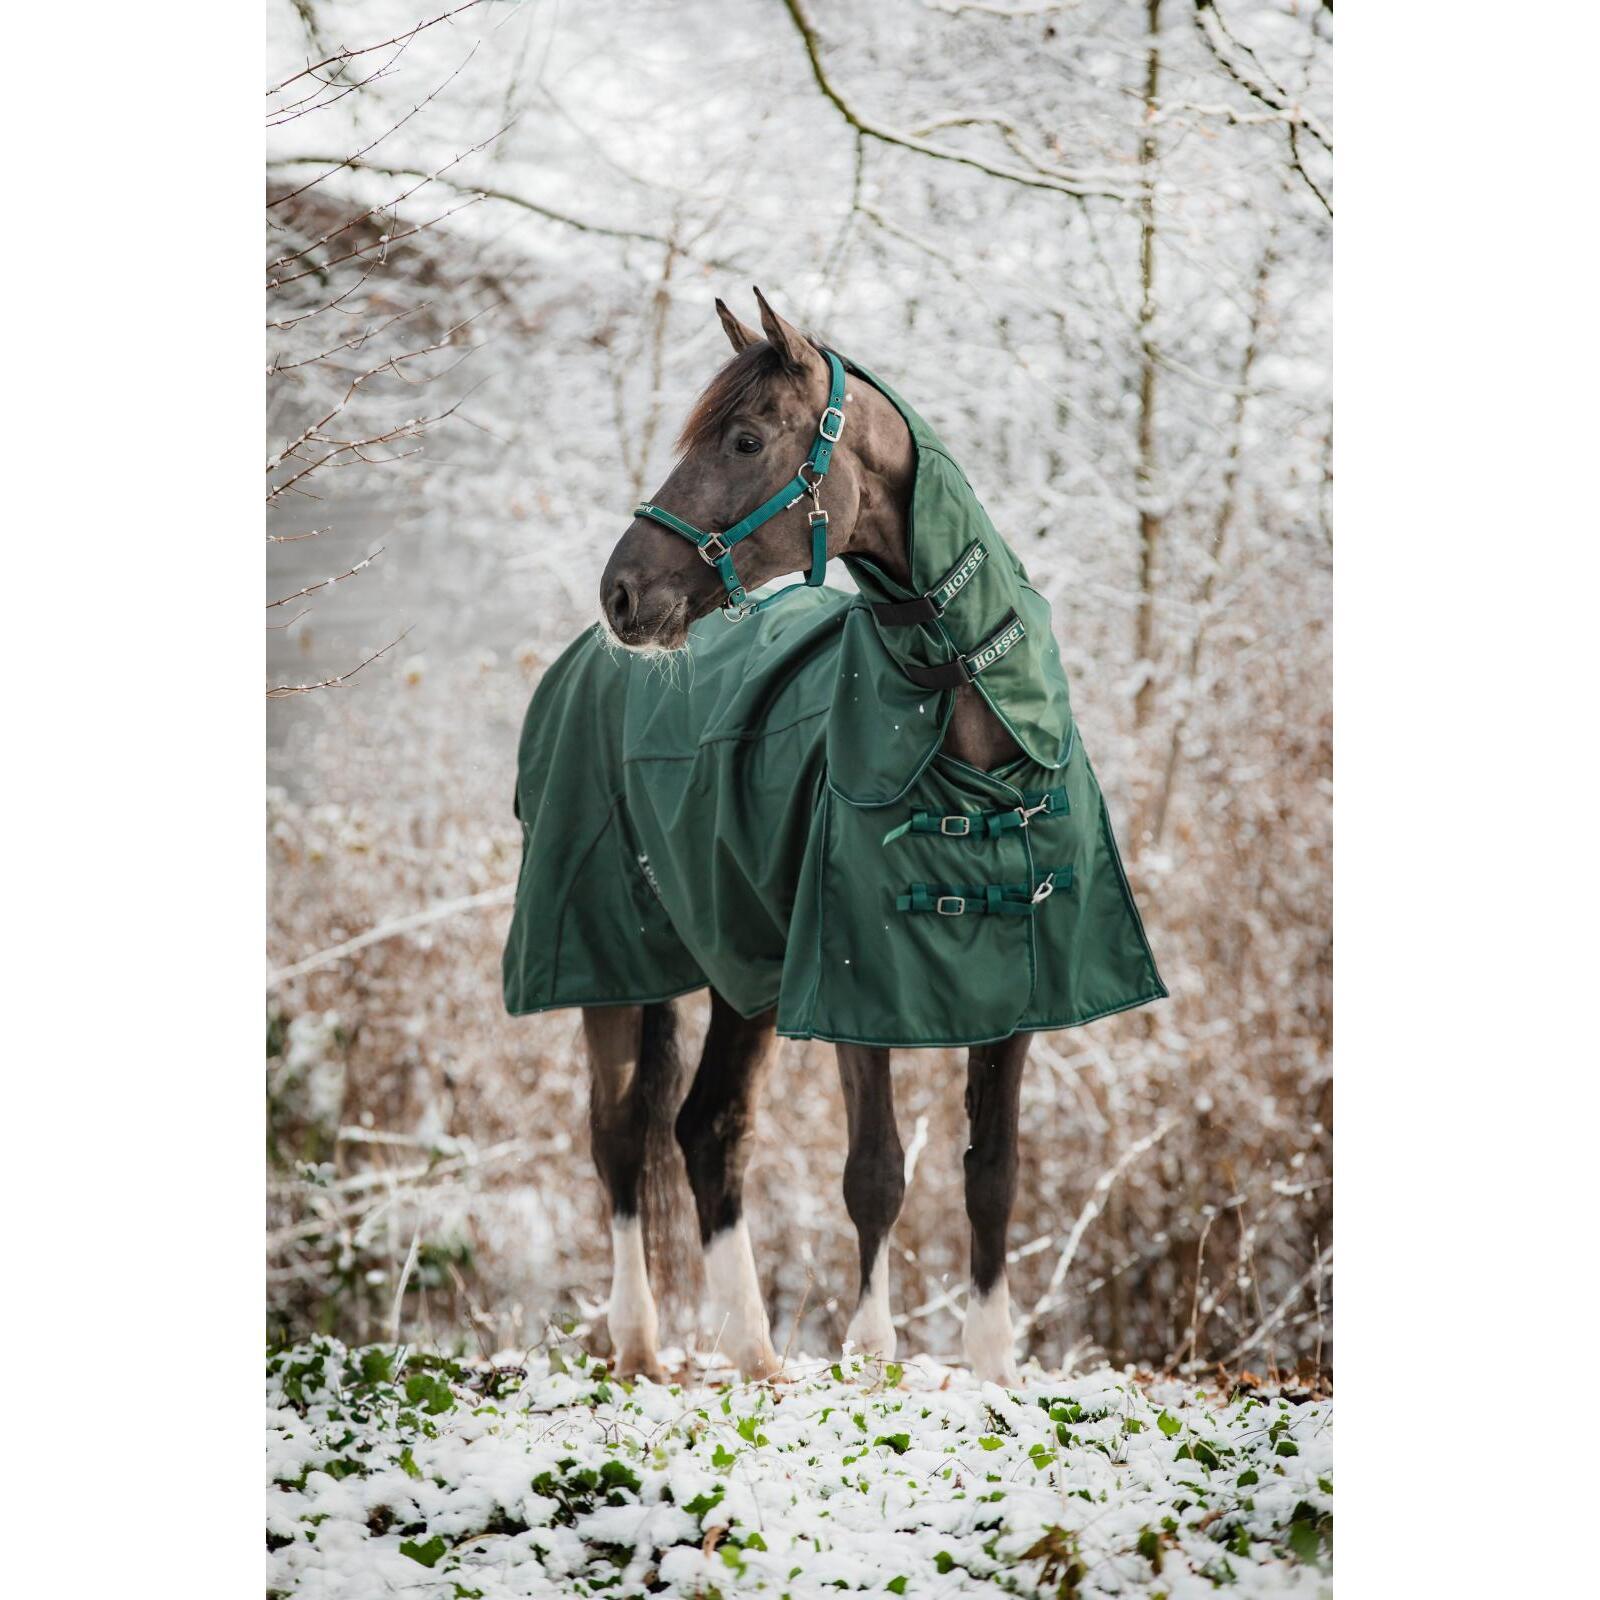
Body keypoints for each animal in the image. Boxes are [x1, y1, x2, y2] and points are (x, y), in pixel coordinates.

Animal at [504, 288, 1164, 1384]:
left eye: (743, 438)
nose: (623, 595)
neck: (969, 745)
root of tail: (586, 662)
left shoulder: (1019, 996)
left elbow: (993, 1172)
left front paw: (991, 1367)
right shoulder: (858, 987)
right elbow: (876, 1173)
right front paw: (873, 1356)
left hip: (746, 973)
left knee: (707, 1126)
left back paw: (756, 1353)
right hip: (611, 959)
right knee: (618, 1132)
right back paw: (642, 1341)